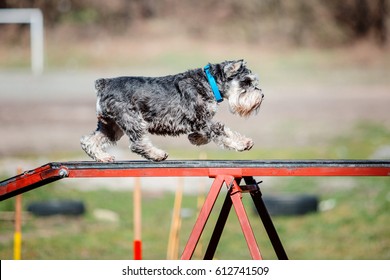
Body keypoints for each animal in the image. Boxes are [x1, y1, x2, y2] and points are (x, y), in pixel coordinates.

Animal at [80, 59, 264, 162]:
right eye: (246, 81)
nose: (261, 95)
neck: (208, 82)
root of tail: (104, 83)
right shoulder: (202, 120)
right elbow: (223, 132)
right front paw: (243, 143)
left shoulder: (201, 121)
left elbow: (210, 133)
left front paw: (195, 138)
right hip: (132, 120)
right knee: (138, 144)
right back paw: (157, 154)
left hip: (111, 126)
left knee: (89, 141)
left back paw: (103, 157)